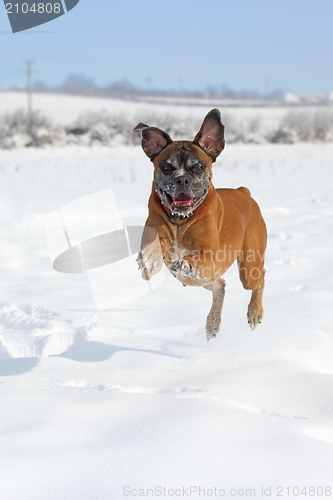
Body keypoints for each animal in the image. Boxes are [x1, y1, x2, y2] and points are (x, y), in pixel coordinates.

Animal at [134, 109, 266, 342]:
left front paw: (187, 262)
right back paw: (212, 325)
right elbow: (153, 249)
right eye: (166, 167)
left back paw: (254, 313)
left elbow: (197, 258)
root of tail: (243, 192)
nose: (182, 180)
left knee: (260, 280)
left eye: (198, 166)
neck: (180, 220)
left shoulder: (210, 257)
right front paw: (151, 256)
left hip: (249, 268)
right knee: (220, 286)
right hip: (203, 280)